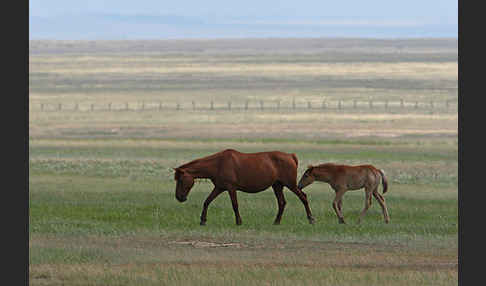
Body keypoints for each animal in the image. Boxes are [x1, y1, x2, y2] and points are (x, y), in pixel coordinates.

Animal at [175, 150, 316, 226]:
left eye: (180, 180)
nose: (179, 197)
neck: (218, 164)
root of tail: (291, 156)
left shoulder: (231, 188)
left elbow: (235, 205)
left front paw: (239, 221)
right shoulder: (219, 188)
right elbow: (207, 201)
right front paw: (203, 220)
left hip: (290, 184)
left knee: (303, 197)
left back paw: (311, 219)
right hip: (277, 185)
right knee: (282, 203)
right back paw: (276, 222)